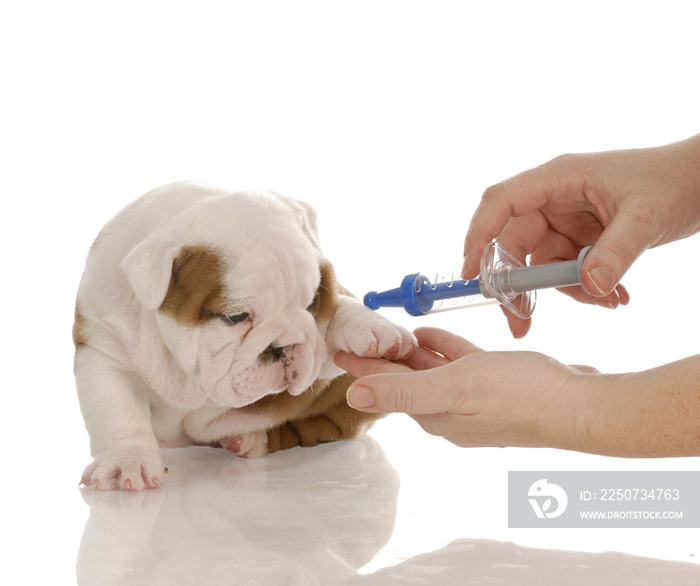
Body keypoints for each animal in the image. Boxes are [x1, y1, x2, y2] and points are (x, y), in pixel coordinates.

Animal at [75, 182, 416, 488]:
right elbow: (118, 408)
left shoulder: (322, 346)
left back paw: (251, 439)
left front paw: (373, 329)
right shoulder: (103, 348)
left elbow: (336, 316)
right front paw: (127, 462)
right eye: (236, 317)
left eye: (312, 303)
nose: (286, 347)